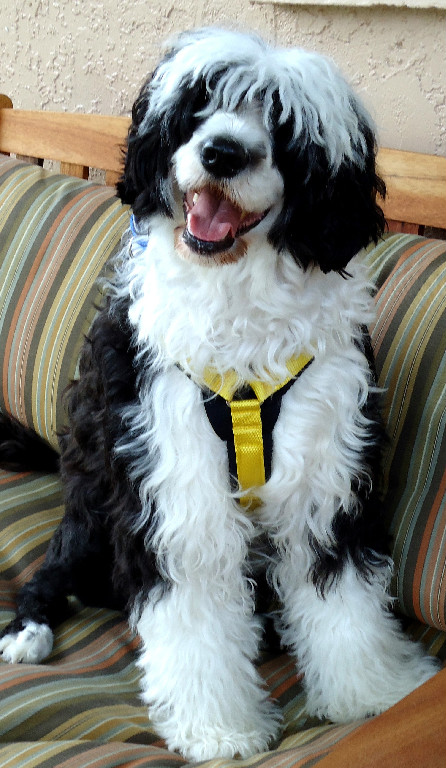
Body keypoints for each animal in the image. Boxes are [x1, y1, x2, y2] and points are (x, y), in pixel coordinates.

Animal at [0, 25, 440, 760]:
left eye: (284, 123)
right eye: (200, 103)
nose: (222, 152)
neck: (238, 304)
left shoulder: (326, 477)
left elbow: (344, 599)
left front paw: (369, 693)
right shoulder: (174, 484)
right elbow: (194, 616)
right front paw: (221, 729)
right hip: (92, 506)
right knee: (51, 569)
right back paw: (28, 628)